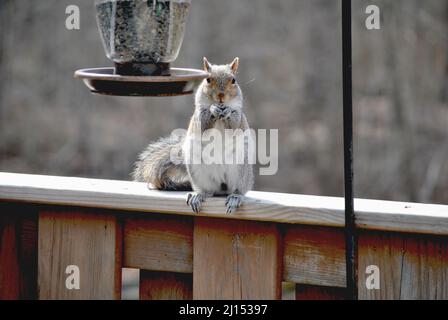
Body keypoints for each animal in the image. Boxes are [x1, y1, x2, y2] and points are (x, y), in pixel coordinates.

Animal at [131, 57, 254, 214]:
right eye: (207, 79)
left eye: (233, 80)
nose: (221, 96)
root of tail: (222, 186)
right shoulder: (199, 115)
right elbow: (204, 122)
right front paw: (213, 109)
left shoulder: (238, 114)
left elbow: (234, 123)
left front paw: (226, 111)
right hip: (198, 172)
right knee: (209, 191)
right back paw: (198, 195)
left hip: (240, 170)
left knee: (237, 190)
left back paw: (235, 197)